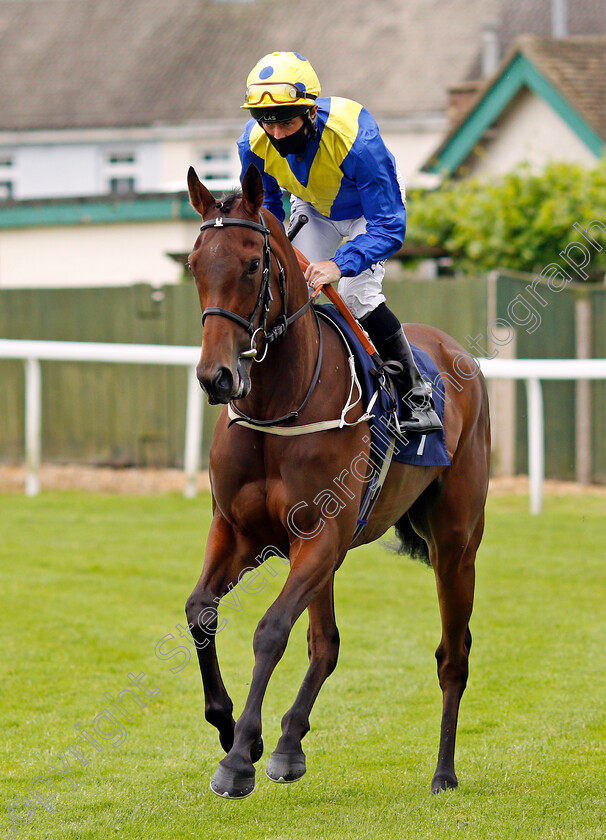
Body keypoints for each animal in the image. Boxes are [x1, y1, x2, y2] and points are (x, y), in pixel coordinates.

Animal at [185, 166, 494, 800]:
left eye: (251, 264)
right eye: (195, 263)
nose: (216, 376)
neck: (279, 407)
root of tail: (456, 352)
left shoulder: (320, 536)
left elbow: (271, 630)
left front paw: (239, 758)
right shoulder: (238, 531)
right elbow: (201, 610)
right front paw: (231, 729)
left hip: (455, 545)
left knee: (453, 655)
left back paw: (444, 771)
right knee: (325, 645)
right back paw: (288, 746)